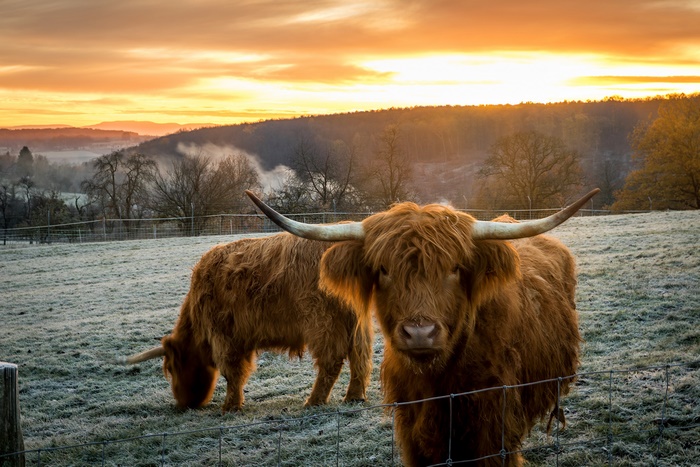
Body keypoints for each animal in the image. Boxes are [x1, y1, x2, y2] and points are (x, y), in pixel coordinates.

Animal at [126, 233, 373, 413]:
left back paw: (313, 401)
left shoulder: (223, 335)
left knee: (331, 359)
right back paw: (354, 397)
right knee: (359, 355)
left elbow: (232, 371)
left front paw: (230, 406)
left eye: (172, 368)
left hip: (322, 321)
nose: (183, 404)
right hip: (355, 322)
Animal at [245, 189, 599, 466]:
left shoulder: (493, 430)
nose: (419, 334)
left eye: (455, 268)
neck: (438, 383)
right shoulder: (411, 430)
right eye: (383, 269)